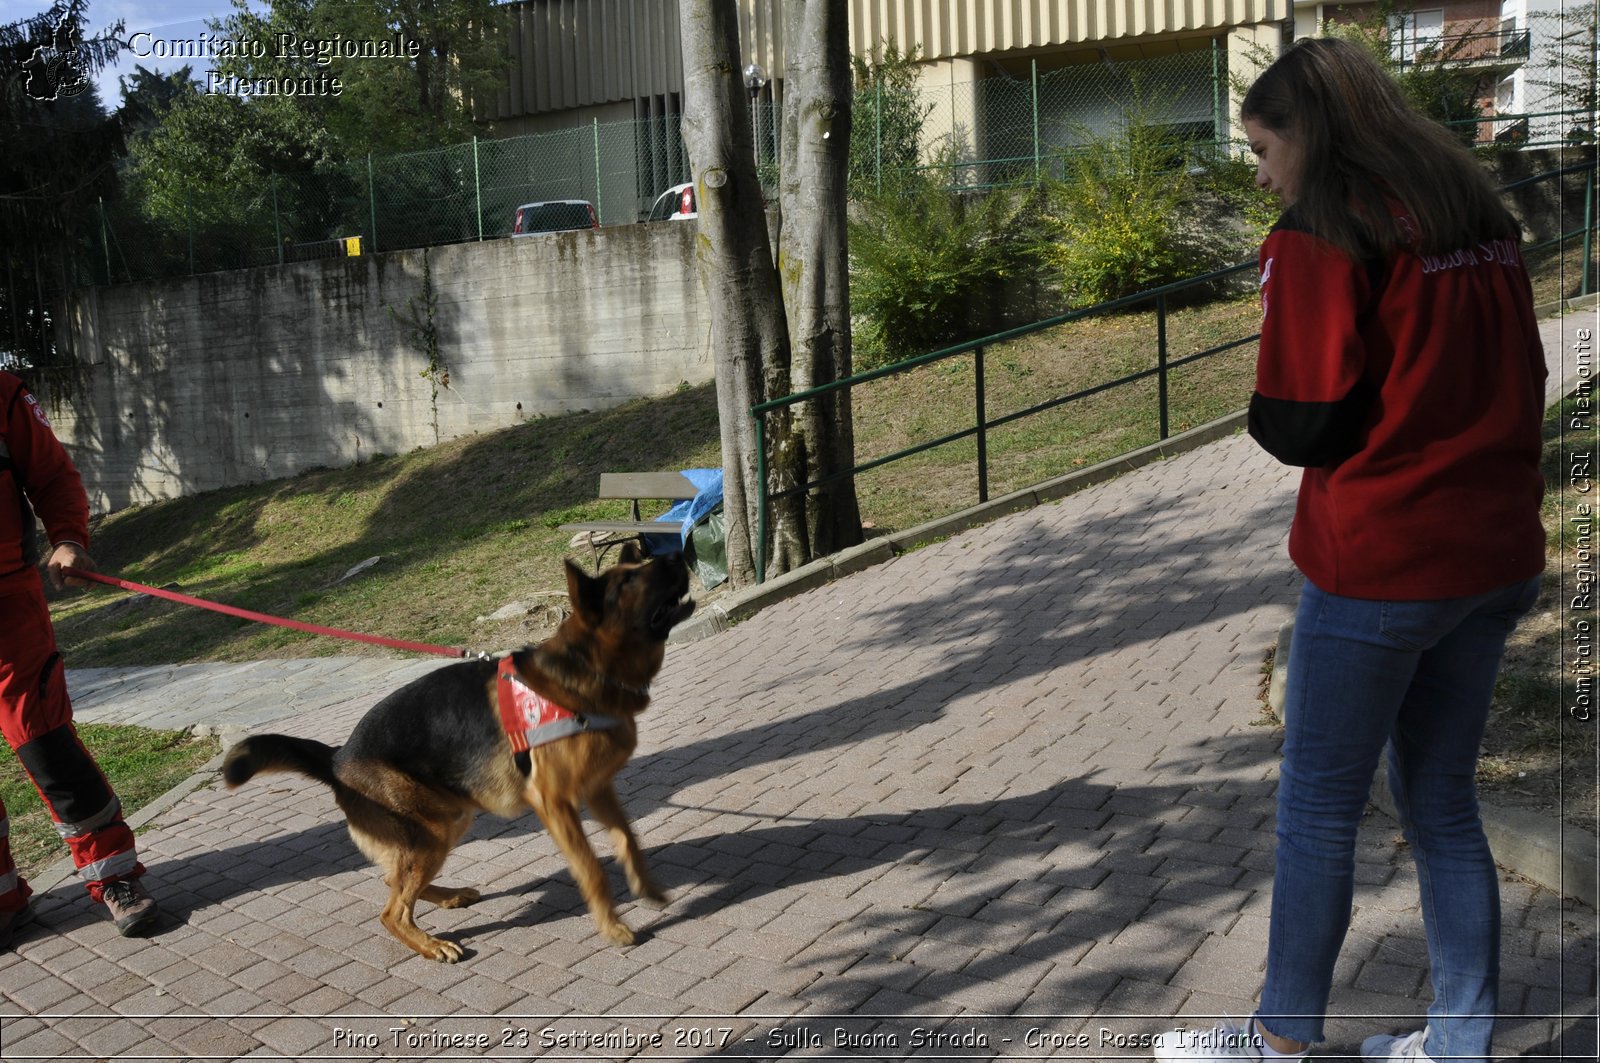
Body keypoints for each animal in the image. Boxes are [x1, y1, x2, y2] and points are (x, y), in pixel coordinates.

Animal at [220, 547, 694, 960]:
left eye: (641, 568)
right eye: (629, 580)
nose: (676, 552)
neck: (588, 668)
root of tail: (337, 758)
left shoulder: (597, 790)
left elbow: (628, 839)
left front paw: (646, 888)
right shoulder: (555, 802)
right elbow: (592, 868)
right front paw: (613, 928)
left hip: (448, 821)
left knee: (394, 880)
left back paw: (448, 898)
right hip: (432, 830)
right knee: (391, 911)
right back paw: (431, 945)